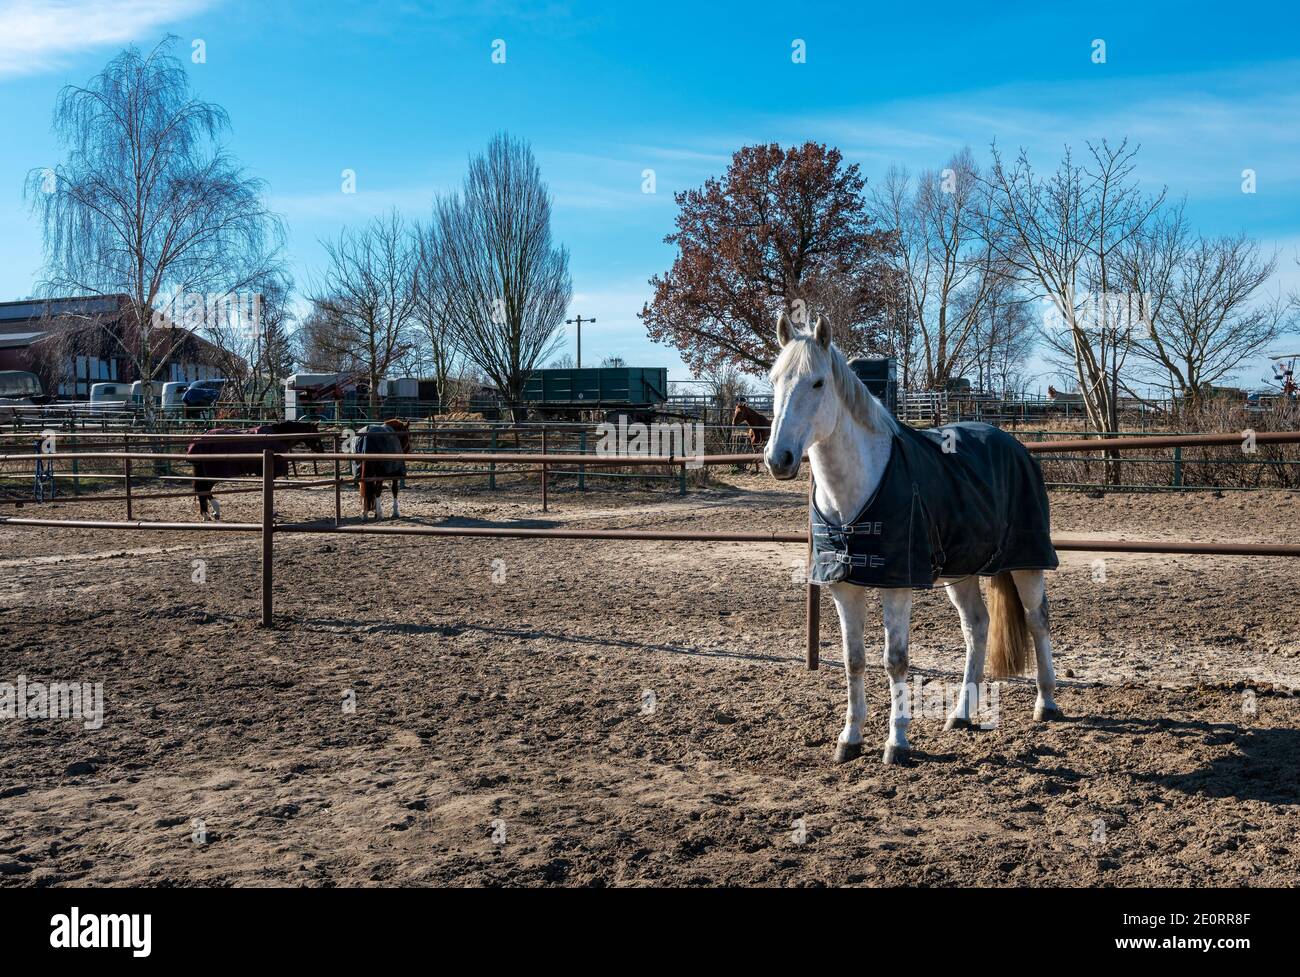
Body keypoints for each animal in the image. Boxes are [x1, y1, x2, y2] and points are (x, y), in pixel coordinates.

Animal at [764, 313, 1060, 763]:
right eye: (774, 380)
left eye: (817, 383)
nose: (778, 459)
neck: (857, 491)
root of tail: (1014, 444)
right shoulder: (843, 586)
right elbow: (854, 660)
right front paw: (850, 739)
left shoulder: (898, 584)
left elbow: (896, 661)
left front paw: (897, 744)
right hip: (962, 571)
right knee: (977, 627)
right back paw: (961, 714)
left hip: (1028, 562)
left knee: (1037, 620)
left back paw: (1046, 704)